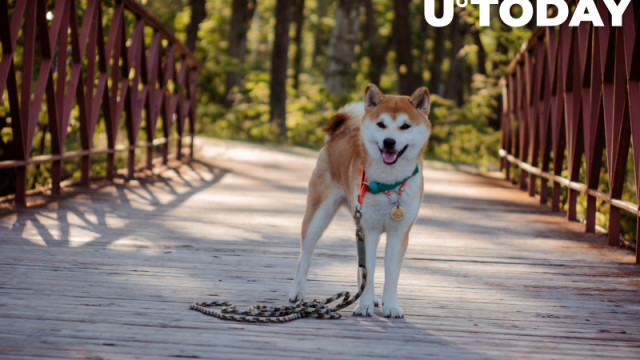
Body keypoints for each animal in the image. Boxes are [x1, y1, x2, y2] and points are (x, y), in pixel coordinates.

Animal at [292, 83, 432, 318]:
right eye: (381, 124)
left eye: (405, 126)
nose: (389, 142)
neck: (389, 185)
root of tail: (337, 135)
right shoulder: (370, 229)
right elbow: (371, 270)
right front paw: (364, 305)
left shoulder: (398, 233)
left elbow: (389, 275)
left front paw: (390, 306)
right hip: (319, 216)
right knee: (304, 256)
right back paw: (297, 293)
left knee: (361, 265)